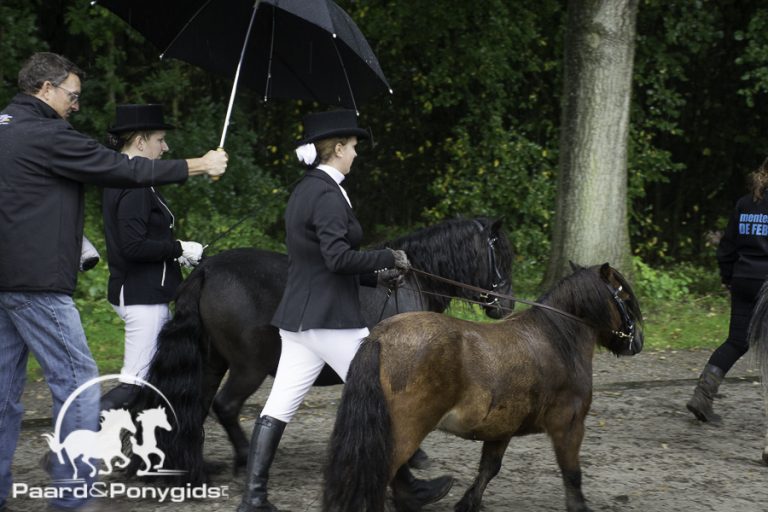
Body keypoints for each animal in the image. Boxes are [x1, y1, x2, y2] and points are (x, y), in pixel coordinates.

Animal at [138, 217, 514, 484]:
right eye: (500, 254)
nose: (507, 305)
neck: (410, 284)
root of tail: (208, 269)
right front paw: (414, 456)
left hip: (213, 362)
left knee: (194, 409)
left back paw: (196, 468)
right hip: (249, 367)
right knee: (225, 407)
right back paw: (245, 460)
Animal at [323, 263, 644, 512]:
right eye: (625, 297)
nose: (637, 342)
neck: (556, 340)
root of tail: (381, 337)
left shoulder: (502, 428)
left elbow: (489, 468)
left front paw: (468, 502)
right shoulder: (569, 424)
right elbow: (572, 473)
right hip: (404, 430)